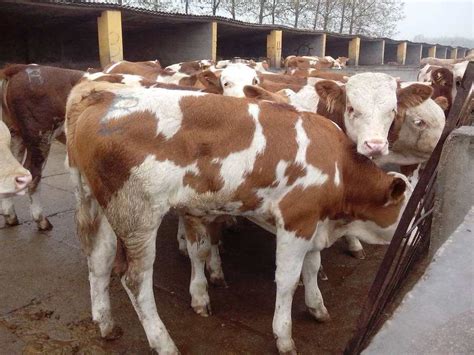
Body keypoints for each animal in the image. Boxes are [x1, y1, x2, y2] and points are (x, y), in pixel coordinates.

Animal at [0, 64, 83, 231]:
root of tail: (21, 68)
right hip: (40, 136)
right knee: (33, 175)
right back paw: (42, 221)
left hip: (15, 133)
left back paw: (11, 217)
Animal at [66, 80, 412, 355]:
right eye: (405, 205)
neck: (339, 166)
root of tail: (100, 96)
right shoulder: (296, 219)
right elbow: (288, 280)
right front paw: (284, 336)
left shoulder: (314, 221)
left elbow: (312, 266)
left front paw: (317, 306)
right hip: (138, 214)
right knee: (135, 280)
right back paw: (164, 344)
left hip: (100, 204)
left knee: (99, 259)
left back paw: (106, 324)